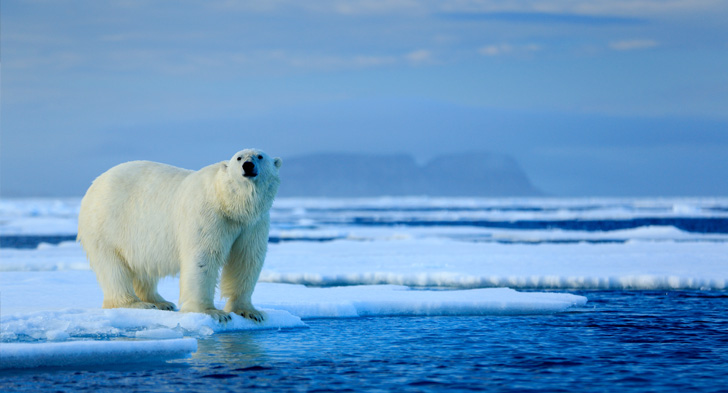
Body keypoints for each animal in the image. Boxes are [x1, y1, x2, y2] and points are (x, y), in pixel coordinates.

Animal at [77, 149, 282, 322]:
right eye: (238, 158)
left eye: (260, 156)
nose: (248, 165)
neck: (227, 202)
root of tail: (94, 184)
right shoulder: (208, 214)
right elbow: (203, 257)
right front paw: (212, 312)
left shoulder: (253, 224)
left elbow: (246, 259)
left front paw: (249, 312)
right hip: (107, 225)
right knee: (113, 268)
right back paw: (136, 303)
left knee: (142, 267)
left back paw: (160, 302)